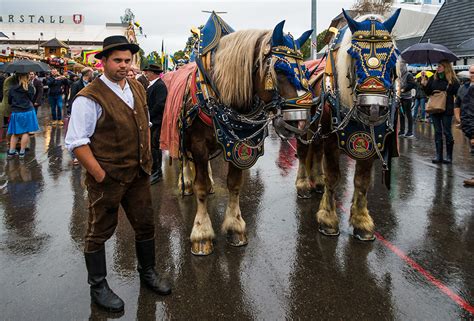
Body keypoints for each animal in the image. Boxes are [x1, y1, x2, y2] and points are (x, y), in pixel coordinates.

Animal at [298, 9, 402, 240]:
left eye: (393, 56)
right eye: (354, 55)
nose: (374, 107)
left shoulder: (373, 141)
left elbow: (362, 181)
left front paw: (362, 221)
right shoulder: (331, 139)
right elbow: (334, 176)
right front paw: (328, 219)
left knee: (315, 151)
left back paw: (317, 181)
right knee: (303, 153)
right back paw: (303, 185)